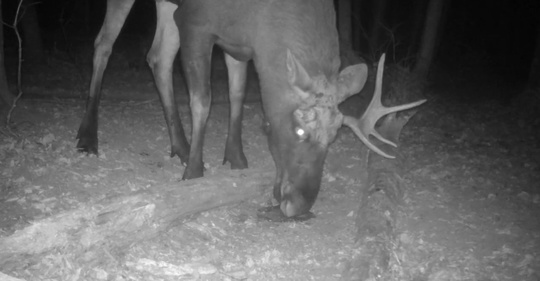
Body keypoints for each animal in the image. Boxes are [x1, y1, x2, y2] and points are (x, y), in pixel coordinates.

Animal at [76, 0, 424, 217]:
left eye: (334, 137)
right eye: (299, 129)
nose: (299, 204)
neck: (262, 16)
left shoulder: (241, 44)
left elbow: (238, 95)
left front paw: (236, 159)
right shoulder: (195, 22)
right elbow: (203, 99)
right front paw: (195, 172)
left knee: (157, 56)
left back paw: (180, 146)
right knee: (103, 43)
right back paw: (88, 137)